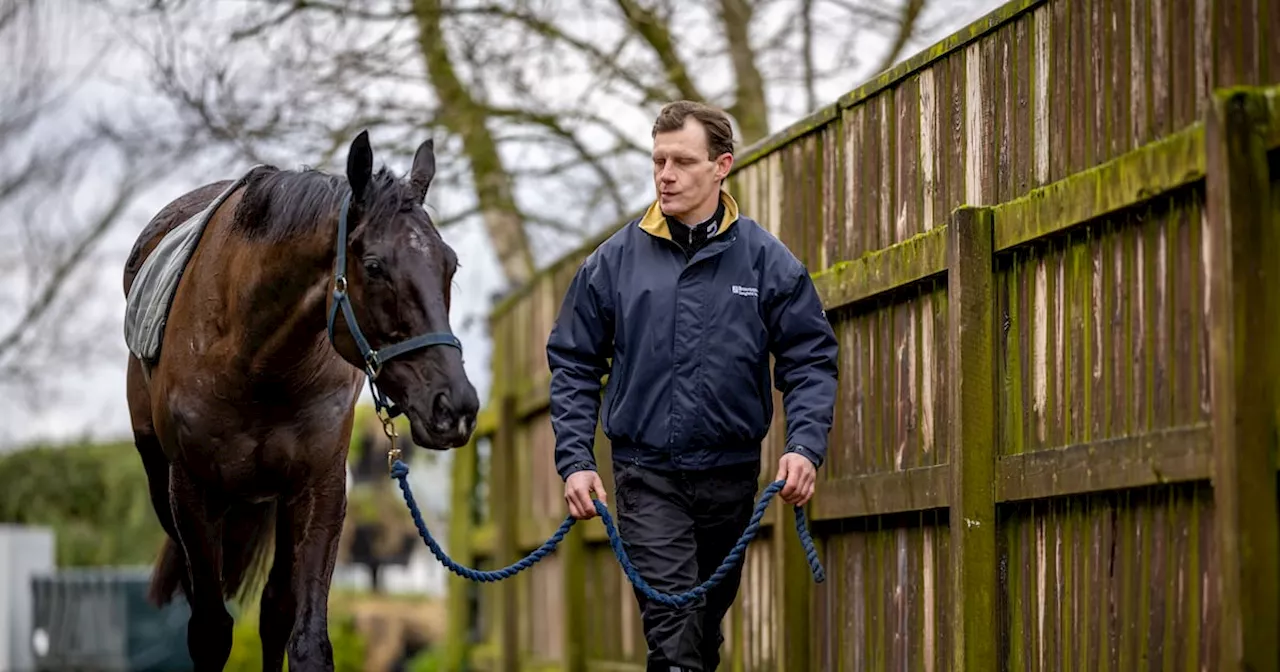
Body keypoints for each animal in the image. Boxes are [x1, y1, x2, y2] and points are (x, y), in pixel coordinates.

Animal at [120, 132, 481, 670]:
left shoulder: (319, 487)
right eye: (374, 266)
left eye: (449, 264)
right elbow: (210, 634)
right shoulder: (191, 492)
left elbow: (305, 637)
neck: (254, 361)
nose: (454, 407)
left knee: (275, 611)